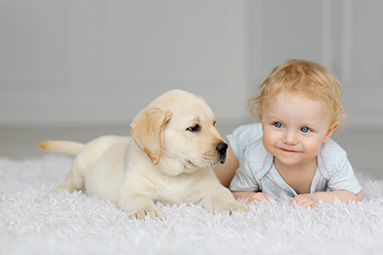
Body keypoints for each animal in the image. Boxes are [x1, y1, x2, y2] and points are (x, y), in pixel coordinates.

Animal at [38, 89, 249, 219]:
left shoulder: (213, 189)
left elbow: (224, 196)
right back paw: (61, 190)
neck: (176, 174)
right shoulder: (132, 190)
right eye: (194, 127)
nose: (224, 147)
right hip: (80, 165)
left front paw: (233, 207)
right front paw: (148, 210)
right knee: (71, 180)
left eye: (214, 124)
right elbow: (140, 199)